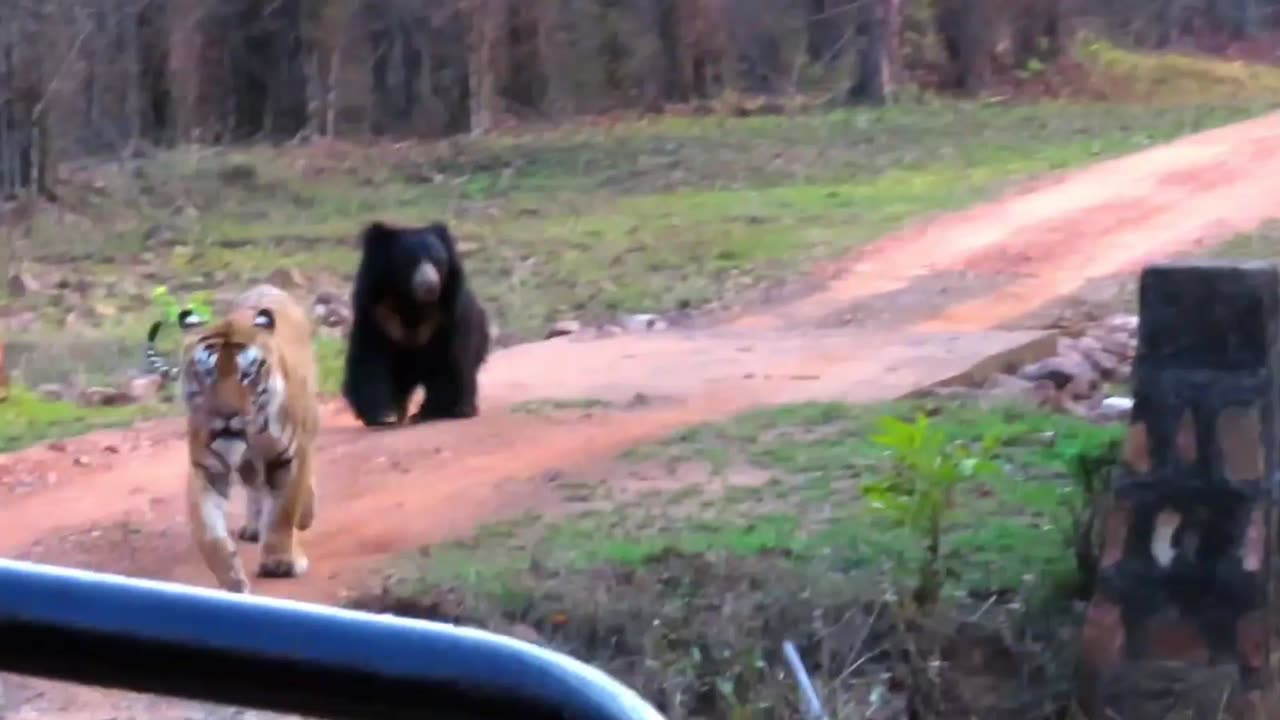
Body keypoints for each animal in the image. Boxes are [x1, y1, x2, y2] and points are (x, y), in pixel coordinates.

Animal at [146, 283, 320, 591]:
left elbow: (283, 512)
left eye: (247, 374)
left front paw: (280, 562)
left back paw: (305, 515)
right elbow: (207, 531)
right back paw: (253, 527)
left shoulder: (290, 457)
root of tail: (266, 286)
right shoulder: (207, 467)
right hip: (249, 465)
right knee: (255, 487)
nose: (226, 415)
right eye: (208, 373)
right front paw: (232, 579)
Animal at [343, 220, 491, 425]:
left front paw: (443, 409)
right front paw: (383, 414)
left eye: (438, 260)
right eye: (410, 261)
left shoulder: (444, 316)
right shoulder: (378, 314)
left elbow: (450, 359)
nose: (430, 285)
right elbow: (370, 360)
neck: (411, 300)